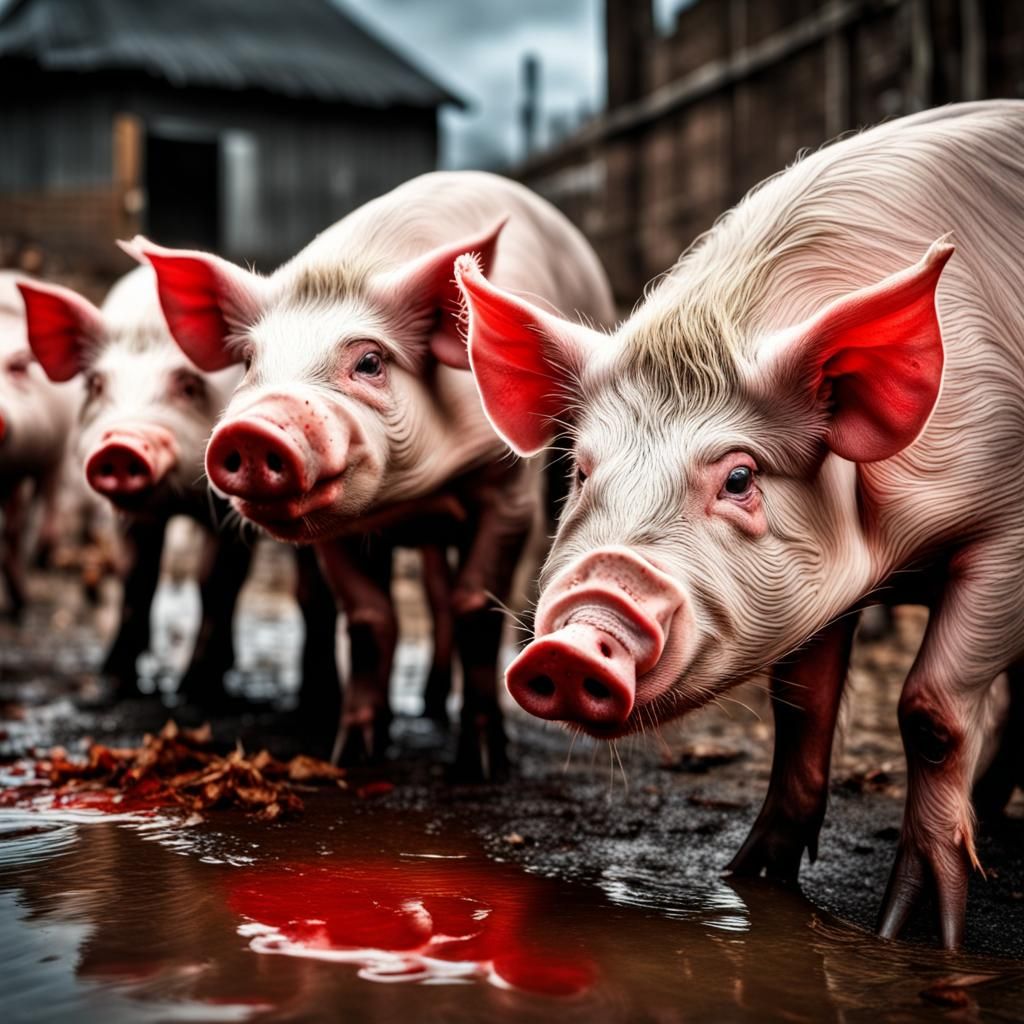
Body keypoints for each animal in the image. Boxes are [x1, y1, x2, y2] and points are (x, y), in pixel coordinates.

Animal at [18, 267, 341, 729]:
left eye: (188, 386)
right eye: (96, 384)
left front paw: (196, 694)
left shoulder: (228, 512)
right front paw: (116, 681)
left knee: (310, 592)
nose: (121, 445)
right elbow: (136, 576)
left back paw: (314, 707)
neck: (178, 501)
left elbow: (215, 582)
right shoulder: (135, 519)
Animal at [125, 170, 615, 777]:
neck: (407, 497)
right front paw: (355, 756)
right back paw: (424, 706)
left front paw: (483, 767)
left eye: (370, 362)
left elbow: (476, 607)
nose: (252, 429)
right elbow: (367, 619)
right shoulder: (340, 531)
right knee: (431, 592)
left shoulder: (505, 491)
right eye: (249, 363)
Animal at [455, 101, 1024, 946]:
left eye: (740, 478)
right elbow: (801, 710)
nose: (576, 633)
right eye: (583, 471)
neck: (900, 557)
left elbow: (930, 709)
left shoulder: (1006, 536)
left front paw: (913, 935)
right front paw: (747, 879)